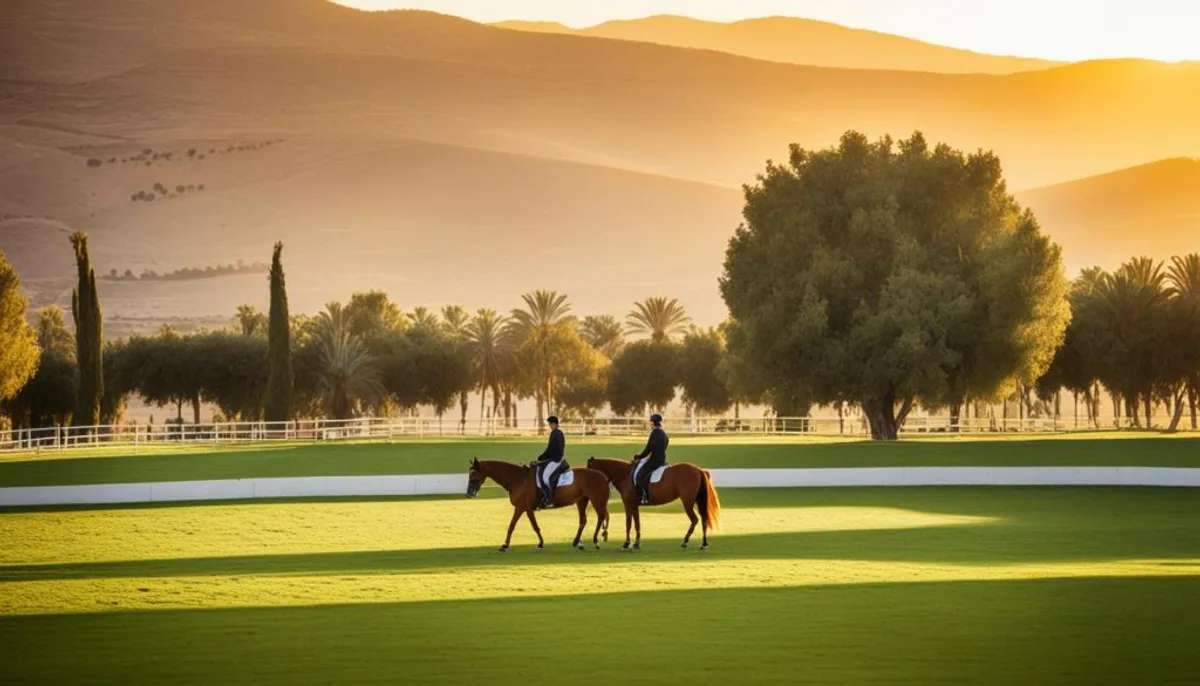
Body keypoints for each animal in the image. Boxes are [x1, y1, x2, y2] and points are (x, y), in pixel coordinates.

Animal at [458, 460, 609, 551]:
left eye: (474, 474)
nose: (469, 494)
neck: (519, 479)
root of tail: (603, 476)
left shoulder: (522, 508)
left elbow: (519, 526)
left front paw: (505, 545)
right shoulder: (525, 509)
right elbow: (527, 526)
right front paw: (539, 543)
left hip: (597, 500)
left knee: (600, 517)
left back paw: (595, 541)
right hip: (582, 501)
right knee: (583, 520)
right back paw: (577, 542)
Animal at [583, 455, 715, 551]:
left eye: (588, 470)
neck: (624, 474)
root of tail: (698, 470)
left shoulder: (628, 504)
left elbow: (628, 523)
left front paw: (626, 544)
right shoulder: (634, 505)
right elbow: (637, 524)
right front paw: (636, 544)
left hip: (687, 502)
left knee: (695, 519)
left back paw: (685, 541)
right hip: (697, 501)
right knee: (703, 518)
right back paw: (704, 543)